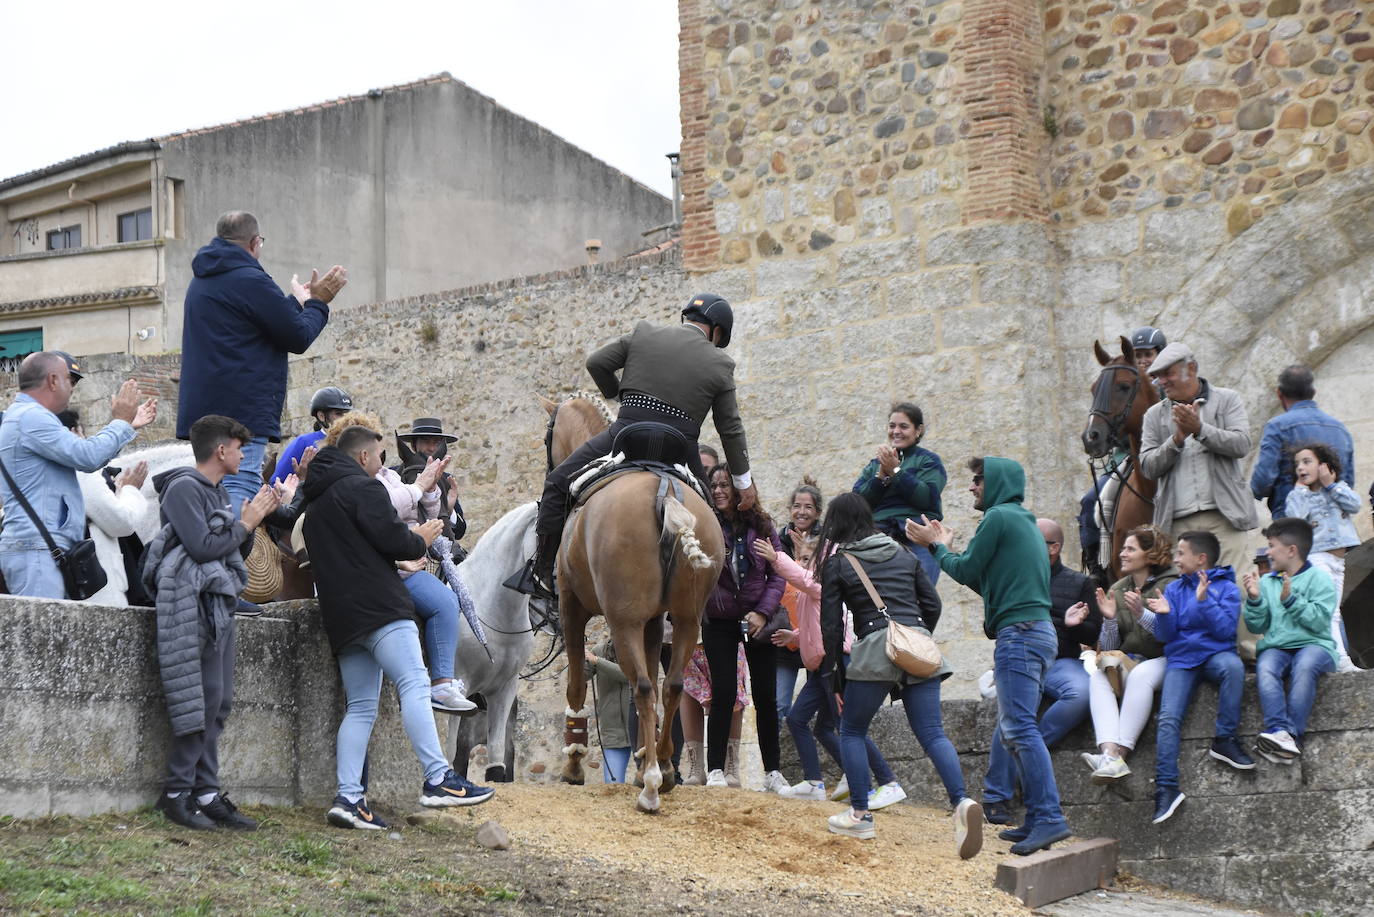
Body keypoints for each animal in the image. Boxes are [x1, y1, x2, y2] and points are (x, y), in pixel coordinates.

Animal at [546, 390, 725, 813]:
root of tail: (665, 491)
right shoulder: (655, 620)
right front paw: (646, 758)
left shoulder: (572, 607)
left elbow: (576, 684)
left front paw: (574, 762)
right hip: (686, 620)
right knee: (671, 685)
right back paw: (664, 771)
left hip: (622, 620)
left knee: (642, 685)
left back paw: (651, 788)